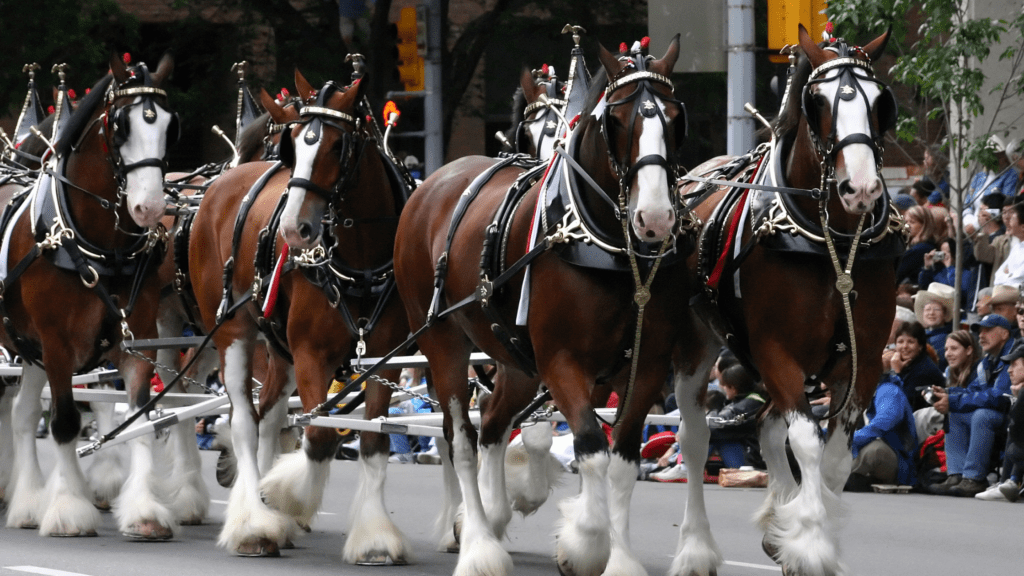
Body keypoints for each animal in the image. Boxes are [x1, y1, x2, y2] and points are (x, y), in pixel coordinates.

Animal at [1, 52, 181, 537]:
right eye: (120, 126)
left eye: (170, 125)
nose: (150, 208)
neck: (101, 250)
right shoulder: (57, 344)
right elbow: (65, 422)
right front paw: (68, 509)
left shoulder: (137, 340)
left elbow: (139, 420)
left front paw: (142, 511)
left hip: (28, 349)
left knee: (22, 413)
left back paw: (25, 501)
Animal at [186, 68, 413, 557]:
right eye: (294, 144)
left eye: (336, 145)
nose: (294, 228)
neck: (360, 261)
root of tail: (224, 182)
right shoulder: (313, 355)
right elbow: (321, 435)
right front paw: (283, 496)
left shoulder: (386, 359)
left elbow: (374, 440)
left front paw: (374, 537)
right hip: (233, 332)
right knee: (245, 422)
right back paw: (254, 522)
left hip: (279, 346)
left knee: (269, 415)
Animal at [391, 40, 688, 573]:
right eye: (616, 121)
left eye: (675, 119)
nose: (654, 219)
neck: (610, 248)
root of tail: (434, 182)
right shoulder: (561, 361)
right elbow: (590, 445)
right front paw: (586, 540)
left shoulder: (647, 366)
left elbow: (621, 458)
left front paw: (619, 554)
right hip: (442, 340)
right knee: (461, 437)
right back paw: (479, 543)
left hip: (513, 358)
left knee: (491, 421)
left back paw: (489, 515)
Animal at [671, 25, 905, 573]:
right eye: (817, 101)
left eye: (881, 102)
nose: (861, 188)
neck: (831, 243)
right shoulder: (777, 350)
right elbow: (806, 442)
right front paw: (811, 540)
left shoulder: (861, 361)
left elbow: (835, 456)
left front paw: (800, 532)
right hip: (699, 346)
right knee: (696, 440)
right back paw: (696, 547)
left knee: (764, 428)